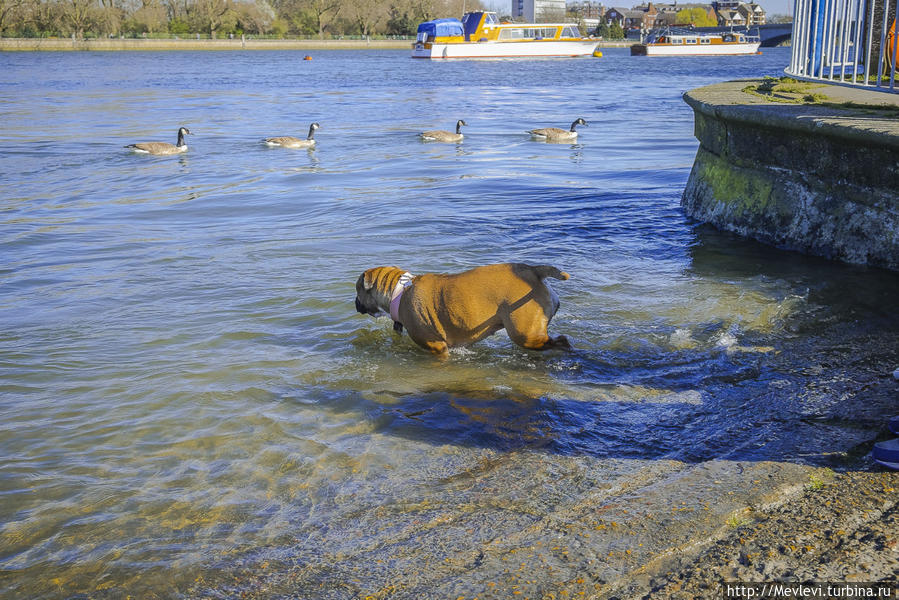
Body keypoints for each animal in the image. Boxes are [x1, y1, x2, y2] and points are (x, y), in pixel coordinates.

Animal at [354, 264, 568, 356]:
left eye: (357, 290)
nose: (355, 302)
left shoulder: (437, 347)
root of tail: (534, 270)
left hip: (525, 334)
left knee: (560, 341)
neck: (399, 292)